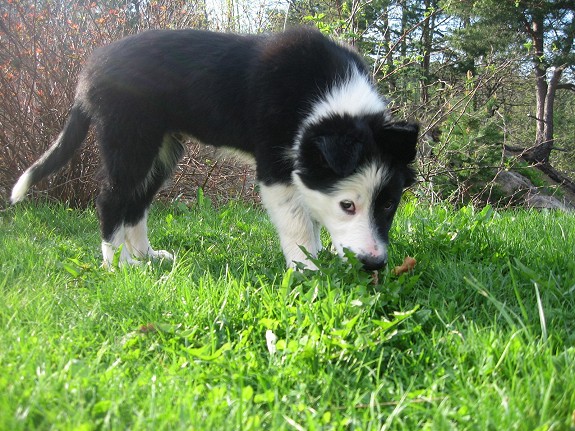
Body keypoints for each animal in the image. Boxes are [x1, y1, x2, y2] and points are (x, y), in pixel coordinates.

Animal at [10, 26, 418, 270]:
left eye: (389, 204)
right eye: (347, 205)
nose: (375, 263)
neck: (329, 97)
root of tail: (88, 72)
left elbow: (311, 216)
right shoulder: (276, 169)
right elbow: (299, 225)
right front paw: (308, 272)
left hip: (161, 150)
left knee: (136, 203)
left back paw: (146, 258)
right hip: (130, 140)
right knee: (112, 199)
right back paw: (117, 266)